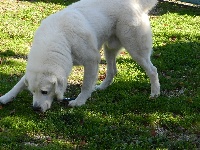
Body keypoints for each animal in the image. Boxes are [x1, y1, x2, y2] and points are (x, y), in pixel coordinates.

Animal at [0, 0, 159, 112]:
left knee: (153, 70)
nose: (35, 109)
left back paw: (155, 93)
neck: (61, 38)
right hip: (109, 49)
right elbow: (20, 83)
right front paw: (5, 97)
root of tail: (136, 3)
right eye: (32, 91)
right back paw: (102, 87)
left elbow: (86, 85)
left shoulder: (92, 60)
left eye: (44, 92)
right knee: (112, 71)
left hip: (135, 49)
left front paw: (79, 101)